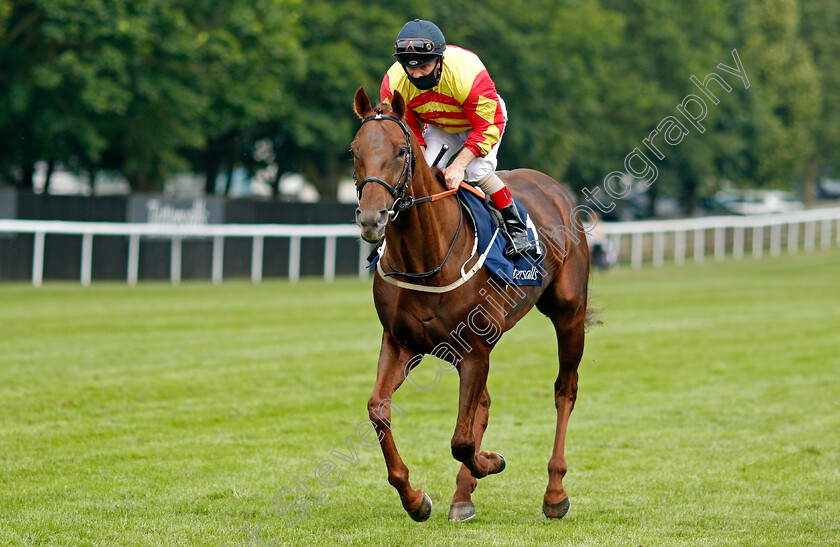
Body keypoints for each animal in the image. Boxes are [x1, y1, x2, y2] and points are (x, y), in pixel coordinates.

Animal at [350, 85, 592, 524]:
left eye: (400, 150)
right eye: (354, 150)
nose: (372, 218)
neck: (426, 259)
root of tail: (552, 186)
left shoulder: (476, 350)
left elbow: (461, 440)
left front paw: (491, 461)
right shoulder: (400, 342)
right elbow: (378, 409)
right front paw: (414, 498)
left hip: (569, 312)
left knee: (564, 390)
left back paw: (554, 492)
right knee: (484, 403)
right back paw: (464, 494)